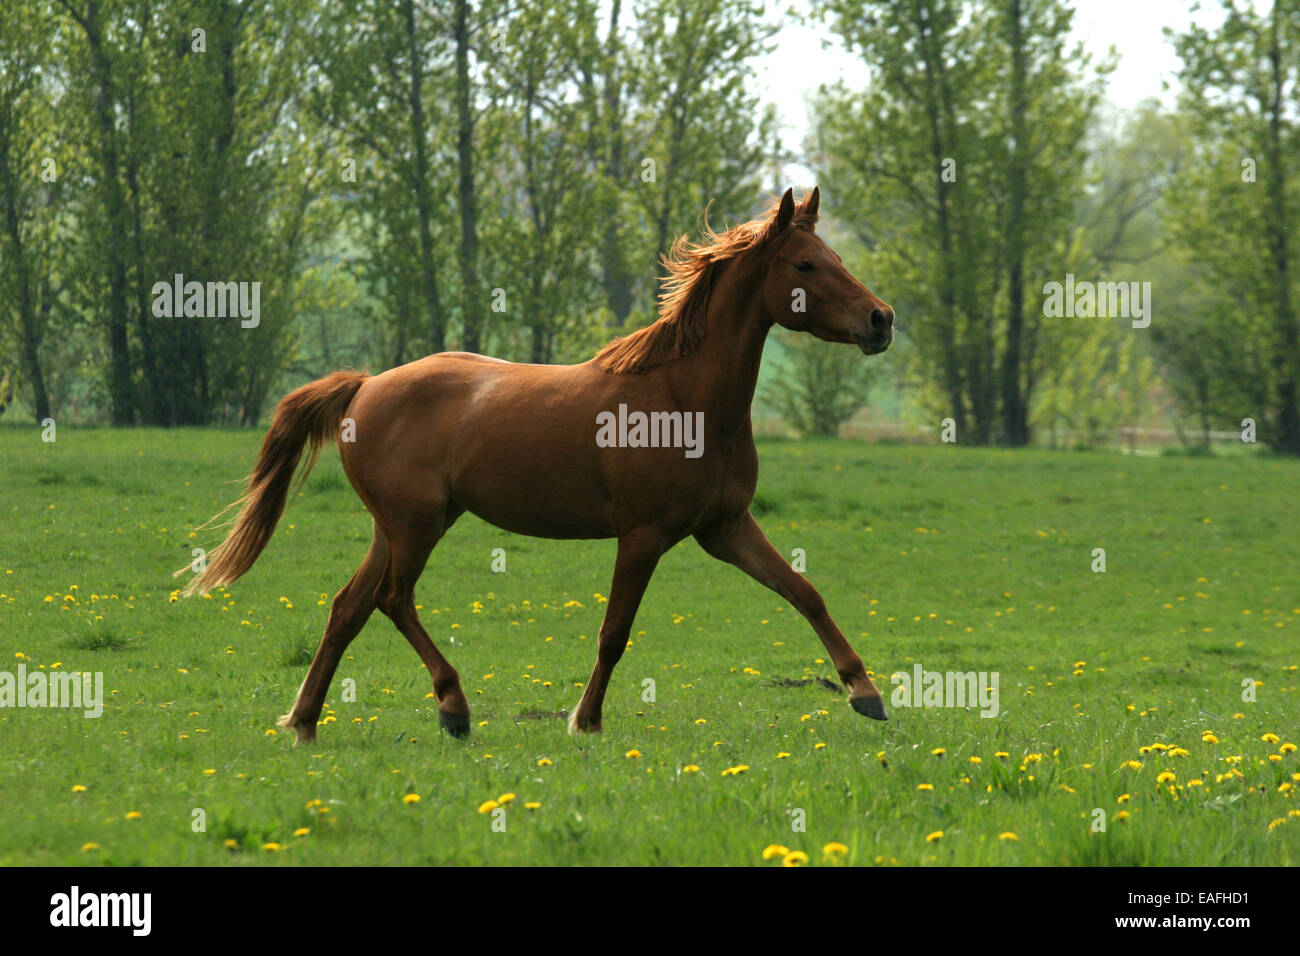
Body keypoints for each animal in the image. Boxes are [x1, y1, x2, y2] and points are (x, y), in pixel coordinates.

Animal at [178, 187, 894, 738]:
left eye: (834, 258)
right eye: (805, 264)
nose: (881, 319)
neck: (683, 399)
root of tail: (365, 385)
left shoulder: (725, 528)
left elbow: (803, 592)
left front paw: (865, 693)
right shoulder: (643, 535)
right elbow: (614, 632)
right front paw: (586, 720)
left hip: (403, 525)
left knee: (348, 607)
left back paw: (304, 721)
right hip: (415, 525)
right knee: (391, 599)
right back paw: (453, 707)